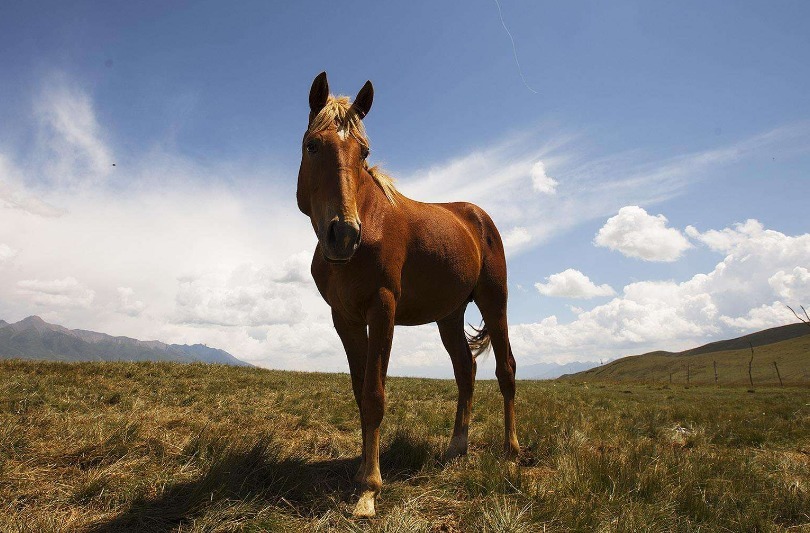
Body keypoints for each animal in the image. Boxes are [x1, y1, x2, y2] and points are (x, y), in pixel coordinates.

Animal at [296, 71, 516, 516]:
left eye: (363, 153)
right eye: (313, 145)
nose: (344, 235)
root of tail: (478, 217)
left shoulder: (382, 309)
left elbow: (374, 396)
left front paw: (368, 489)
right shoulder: (345, 319)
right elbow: (360, 393)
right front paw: (361, 471)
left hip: (494, 303)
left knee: (506, 370)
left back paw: (513, 452)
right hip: (449, 315)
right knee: (465, 371)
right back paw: (457, 448)